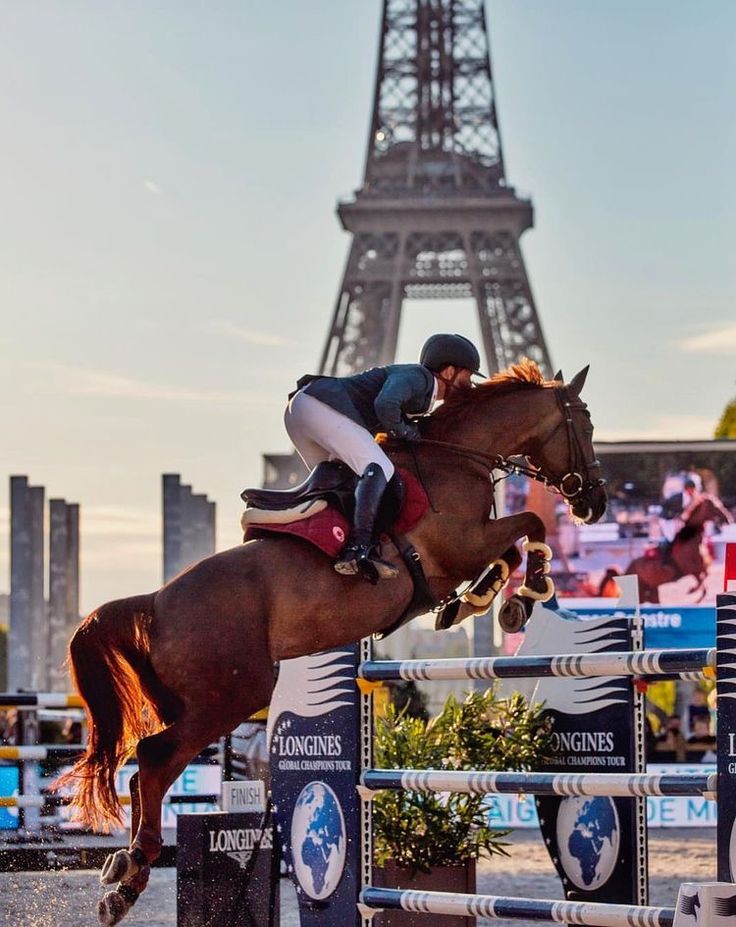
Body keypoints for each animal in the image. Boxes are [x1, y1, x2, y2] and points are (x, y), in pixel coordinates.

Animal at [57, 358, 608, 924]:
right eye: (585, 425)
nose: (595, 502)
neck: (460, 458)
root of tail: (155, 602)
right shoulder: (461, 544)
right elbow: (529, 525)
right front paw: (525, 592)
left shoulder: (470, 547)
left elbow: (510, 549)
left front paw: (480, 601)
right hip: (230, 697)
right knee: (153, 759)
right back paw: (131, 868)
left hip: (195, 701)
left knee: (144, 768)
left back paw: (123, 879)